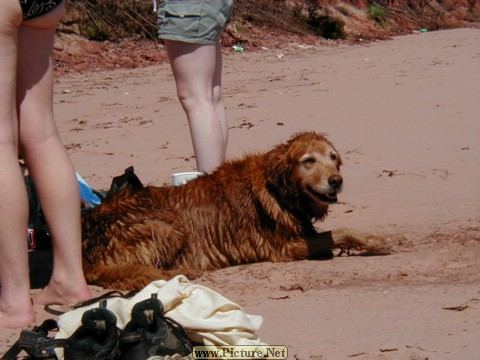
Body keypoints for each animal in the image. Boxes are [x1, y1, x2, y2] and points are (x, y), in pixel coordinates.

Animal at [81, 131, 390, 290]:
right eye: (308, 161)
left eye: (333, 158)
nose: (337, 181)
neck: (277, 189)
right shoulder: (284, 248)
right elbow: (341, 231)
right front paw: (376, 242)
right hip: (167, 227)